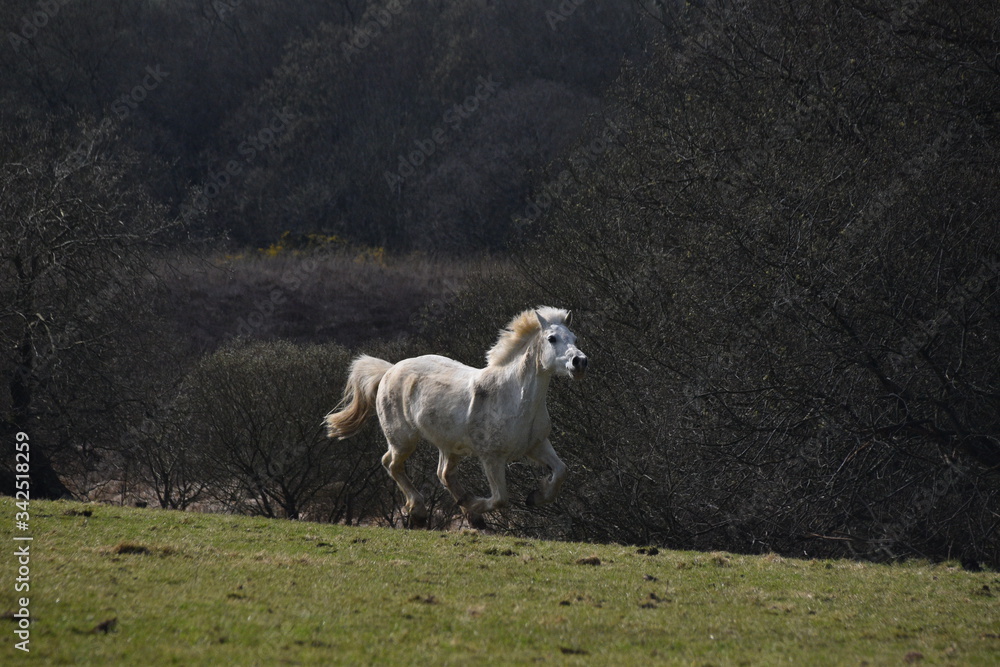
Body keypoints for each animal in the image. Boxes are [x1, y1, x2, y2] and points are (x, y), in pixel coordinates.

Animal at [324, 306, 587, 527]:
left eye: (574, 338)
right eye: (552, 338)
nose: (580, 362)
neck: (514, 398)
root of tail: (389, 369)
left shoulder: (537, 445)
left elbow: (561, 471)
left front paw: (535, 496)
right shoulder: (491, 457)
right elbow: (500, 498)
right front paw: (476, 503)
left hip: (450, 446)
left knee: (443, 473)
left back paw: (469, 515)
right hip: (402, 439)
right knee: (391, 463)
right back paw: (421, 512)